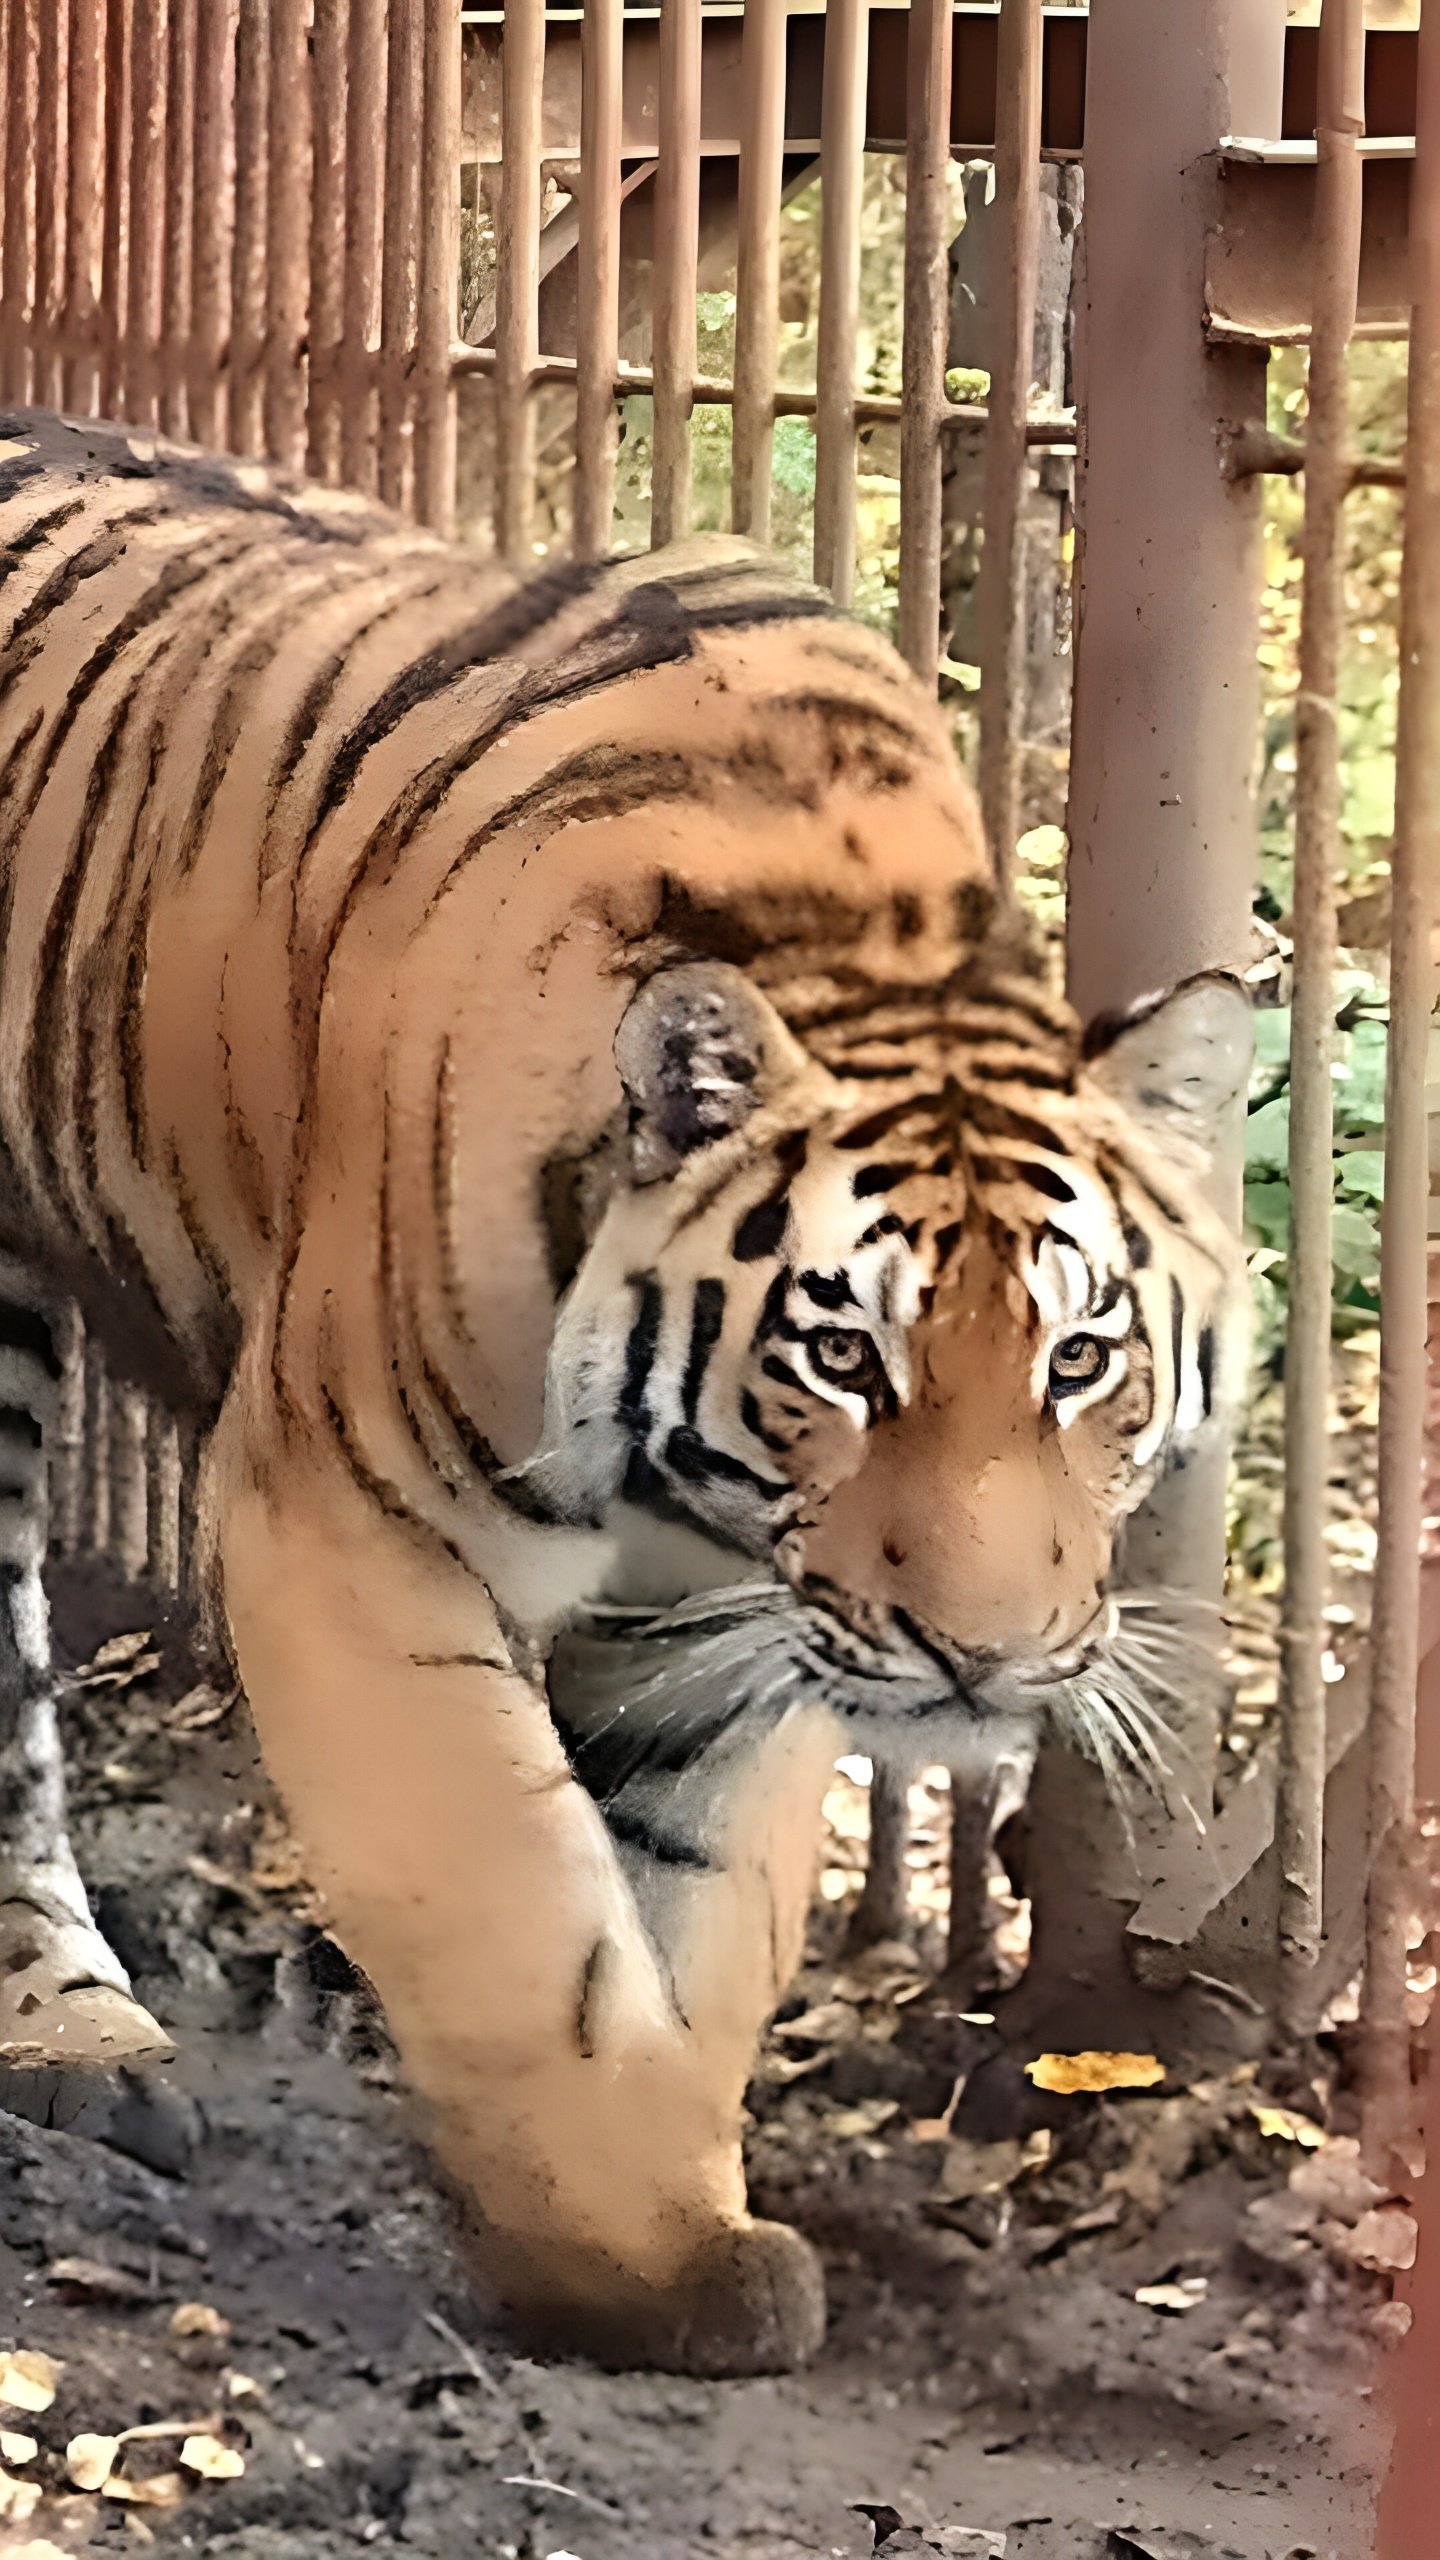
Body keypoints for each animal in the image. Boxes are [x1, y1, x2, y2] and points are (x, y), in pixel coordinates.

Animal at [0, 404, 1245, 2375]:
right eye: (844, 1356)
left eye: (1079, 1359)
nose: (981, 1659)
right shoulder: (353, 1529)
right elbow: (519, 1910)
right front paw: (645, 2258)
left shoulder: (726, 1630)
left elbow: (692, 1935)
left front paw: (667, 2231)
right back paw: (75, 2032)